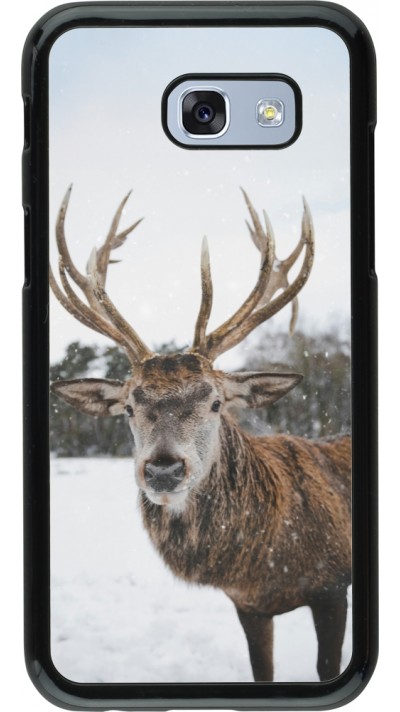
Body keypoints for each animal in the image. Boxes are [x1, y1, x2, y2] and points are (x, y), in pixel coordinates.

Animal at [50, 186, 351, 682]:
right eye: (129, 407)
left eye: (215, 402)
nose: (164, 469)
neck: (267, 562)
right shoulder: (248, 606)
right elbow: (261, 671)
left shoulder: (332, 586)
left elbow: (328, 666)